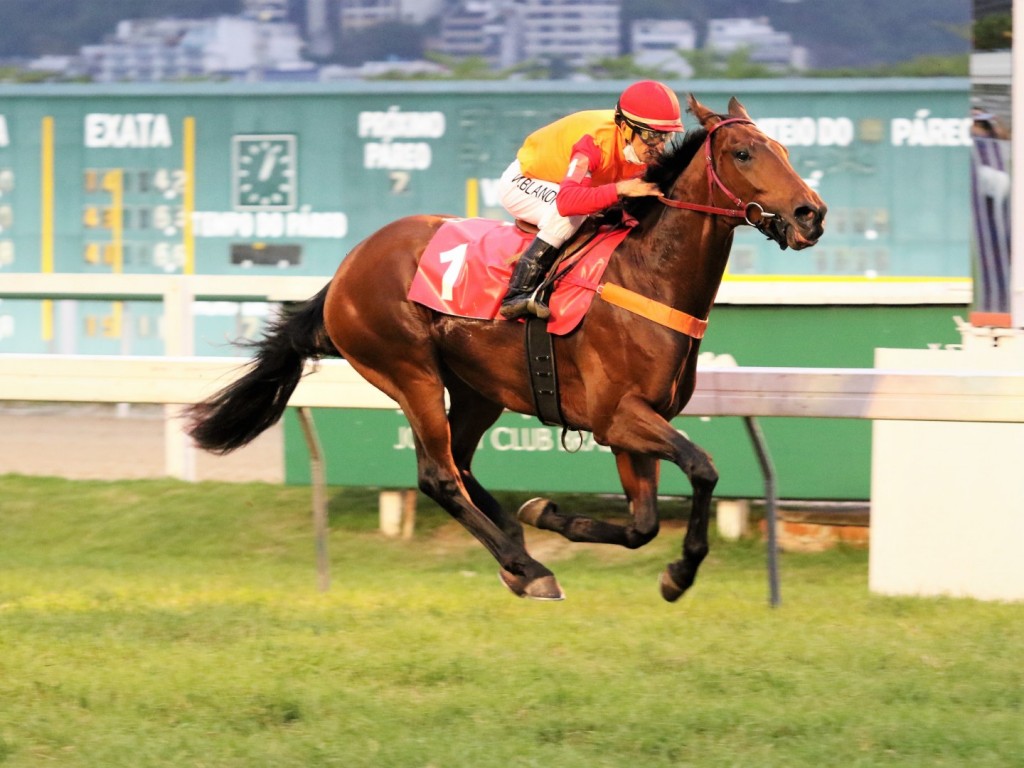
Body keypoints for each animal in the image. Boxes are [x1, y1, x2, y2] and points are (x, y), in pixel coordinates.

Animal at [186, 94, 823, 602]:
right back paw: (527, 566)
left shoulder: (633, 424)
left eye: (784, 148)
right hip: (408, 370)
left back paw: (517, 548)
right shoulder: (618, 417)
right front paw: (681, 573)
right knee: (439, 474)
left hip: (476, 390)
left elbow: (642, 523)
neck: (647, 275)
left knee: (461, 463)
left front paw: (550, 514)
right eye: (743, 153)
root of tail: (346, 269)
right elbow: (703, 467)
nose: (810, 214)